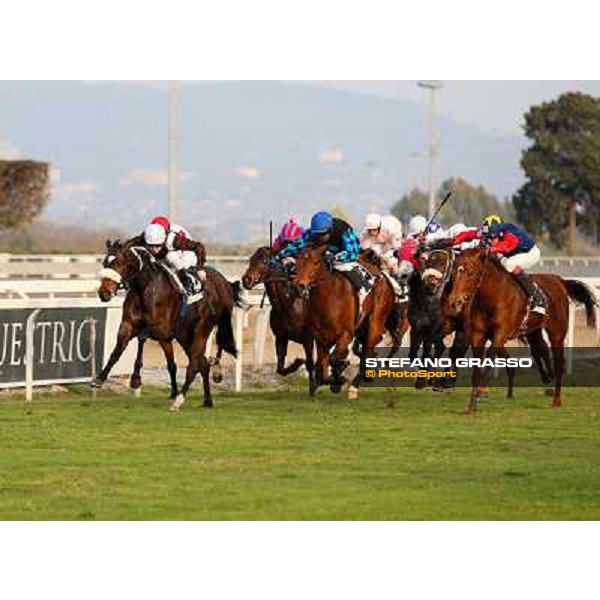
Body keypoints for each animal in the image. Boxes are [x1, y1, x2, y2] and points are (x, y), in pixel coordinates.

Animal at [96, 244, 237, 408]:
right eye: (104, 263)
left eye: (119, 263)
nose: (104, 293)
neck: (145, 289)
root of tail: (225, 284)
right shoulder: (128, 325)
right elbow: (117, 351)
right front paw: (99, 378)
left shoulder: (162, 329)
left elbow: (142, 337)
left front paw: (136, 379)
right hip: (185, 336)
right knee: (202, 364)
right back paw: (207, 400)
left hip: (202, 329)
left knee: (194, 364)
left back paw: (179, 400)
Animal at [240, 246, 316, 396]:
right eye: (251, 259)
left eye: (264, 261)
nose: (246, 279)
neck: (289, 303)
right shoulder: (281, 336)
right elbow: (280, 368)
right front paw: (297, 363)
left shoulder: (308, 338)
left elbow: (310, 363)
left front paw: (313, 388)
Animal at [446, 247, 596, 412]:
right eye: (454, 271)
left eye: (470, 272)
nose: (454, 301)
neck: (491, 297)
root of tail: (559, 280)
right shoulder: (478, 334)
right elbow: (476, 368)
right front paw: (471, 406)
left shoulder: (500, 333)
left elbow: (490, 356)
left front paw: (482, 391)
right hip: (533, 330)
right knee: (541, 348)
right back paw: (547, 376)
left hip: (557, 333)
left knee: (559, 362)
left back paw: (556, 399)